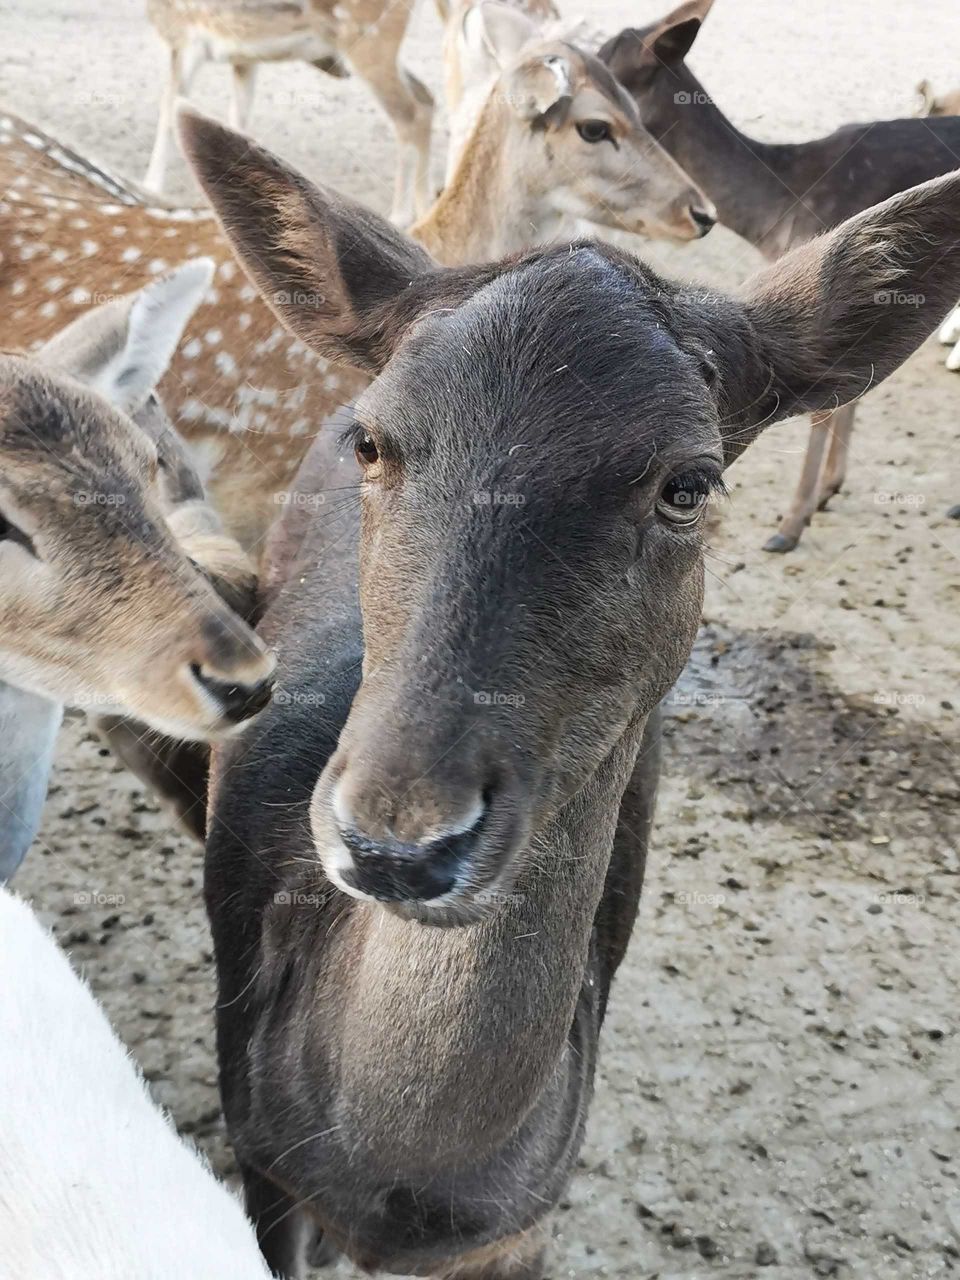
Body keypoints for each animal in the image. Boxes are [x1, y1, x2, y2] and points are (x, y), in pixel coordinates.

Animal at [144, 0, 434, 226]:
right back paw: (426, 210)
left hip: (370, 40)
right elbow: (237, 120)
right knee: (426, 99)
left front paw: (151, 188)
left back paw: (400, 216)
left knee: (409, 114)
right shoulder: (242, 56)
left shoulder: (185, 38)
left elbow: (168, 111)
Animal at [179, 101, 960, 1278]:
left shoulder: (525, 1224)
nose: (400, 838)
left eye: (690, 483)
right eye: (373, 441)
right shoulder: (262, 1169)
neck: (396, 1187)